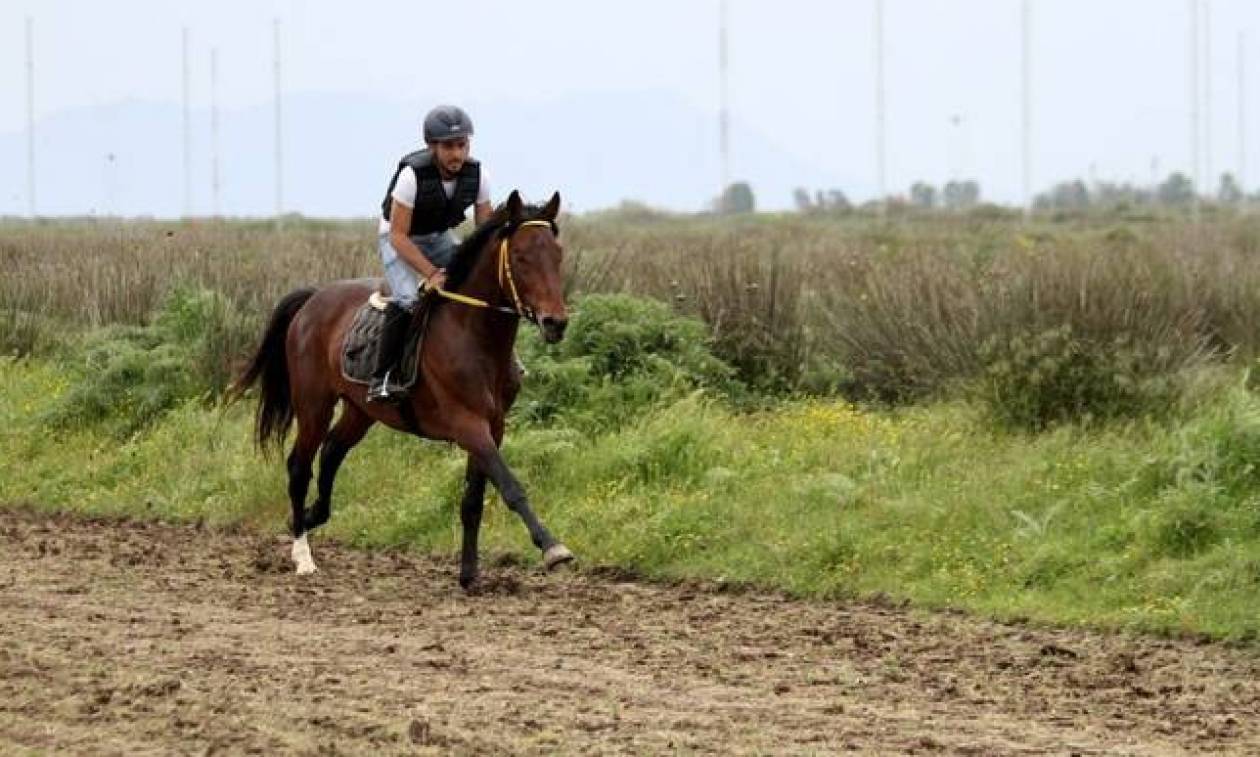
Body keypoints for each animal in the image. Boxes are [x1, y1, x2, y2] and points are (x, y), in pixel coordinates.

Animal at [229, 187, 574, 584]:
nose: (555, 322)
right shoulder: (467, 424)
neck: (475, 337)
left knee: (332, 451)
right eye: (520, 257)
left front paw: (469, 573)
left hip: (360, 409)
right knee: (300, 466)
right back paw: (303, 554)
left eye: (557, 255)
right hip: (313, 403)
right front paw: (553, 548)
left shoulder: (494, 426)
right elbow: (510, 486)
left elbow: (473, 499)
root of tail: (313, 299)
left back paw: (314, 515)